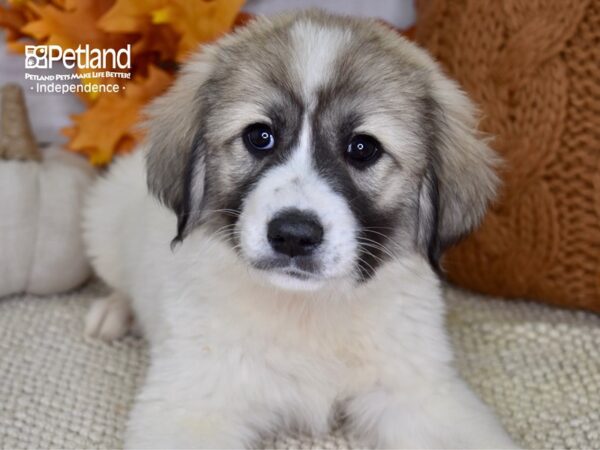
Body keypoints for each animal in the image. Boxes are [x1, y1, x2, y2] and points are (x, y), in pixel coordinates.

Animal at [83, 10, 516, 450]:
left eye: (363, 148)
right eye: (260, 136)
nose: (293, 234)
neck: (307, 309)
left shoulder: (419, 390)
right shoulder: (193, 404)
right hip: (104, 223)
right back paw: (111, 313)